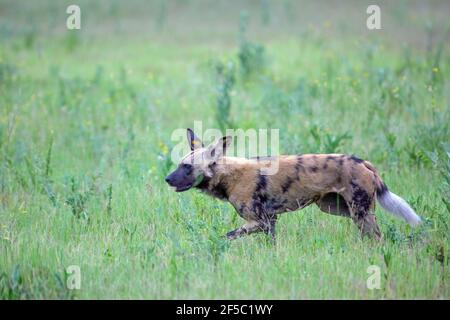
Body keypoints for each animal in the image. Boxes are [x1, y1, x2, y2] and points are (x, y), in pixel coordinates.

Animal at [165, 129, 422, 241]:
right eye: (179, 164)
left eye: (186, 167)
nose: (167, 179)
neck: (228, 175)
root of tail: (362, 161)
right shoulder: (270, 222)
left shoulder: (258, 221)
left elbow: (226, 237)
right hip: (339, 209)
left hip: (359, 212)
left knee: (376, 237)